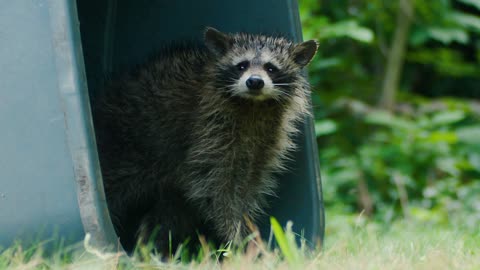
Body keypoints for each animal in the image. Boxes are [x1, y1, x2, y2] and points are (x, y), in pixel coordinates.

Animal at [94, 27, 318, 253]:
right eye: (242, 65)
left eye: (271, 68)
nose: (254, 81)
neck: (253, 104)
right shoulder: (208, 135)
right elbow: (217, 191)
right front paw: (236, 235)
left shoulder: (263, 145)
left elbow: (248, 187)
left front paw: (245, 228)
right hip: (126, 144)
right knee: (114, 184)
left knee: (169, 214)